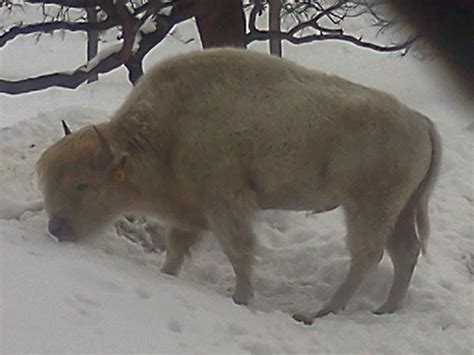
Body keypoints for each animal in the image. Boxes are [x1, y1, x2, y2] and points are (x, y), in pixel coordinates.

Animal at [36, 48, 440, 326]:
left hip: (367, 207)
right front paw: (167, 274)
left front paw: (241, 297)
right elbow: (177, 247)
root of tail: (420, 121)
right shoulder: (189, 209)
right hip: (399, 210)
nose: (56, 228)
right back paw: (385, 309)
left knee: (367, 255)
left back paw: (319, 312)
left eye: (82, 185)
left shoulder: (225, 202)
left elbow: (239, 249)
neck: (166, 133)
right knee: (405, 252)